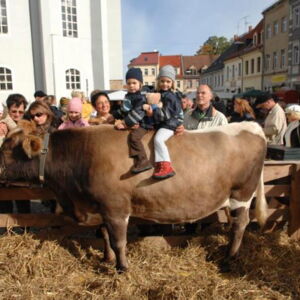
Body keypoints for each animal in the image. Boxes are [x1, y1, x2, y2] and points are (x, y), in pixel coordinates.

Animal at [0, 119, 268, 272]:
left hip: (242, 193)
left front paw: (122, 268)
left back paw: (229, 259)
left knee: (240, 225)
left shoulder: (116, 207)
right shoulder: (99, 206)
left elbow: (119, 241)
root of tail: (252, 126)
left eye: (7, 149)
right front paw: (106, 260)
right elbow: (104, 235)